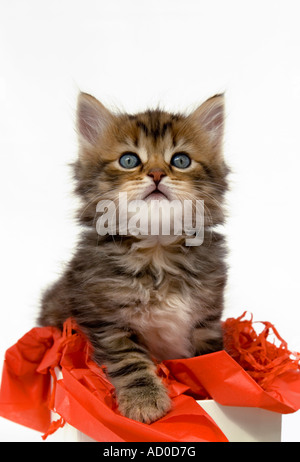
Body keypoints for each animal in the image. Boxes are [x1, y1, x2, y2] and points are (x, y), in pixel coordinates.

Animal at [38, 92, 230, 424]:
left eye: (180, 160)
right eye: (129, 160)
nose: (156, 173)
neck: (157, 249)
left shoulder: (207, 316)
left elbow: (208, 355)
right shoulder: (107, 319)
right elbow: (129, 360)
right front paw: (145, 400)